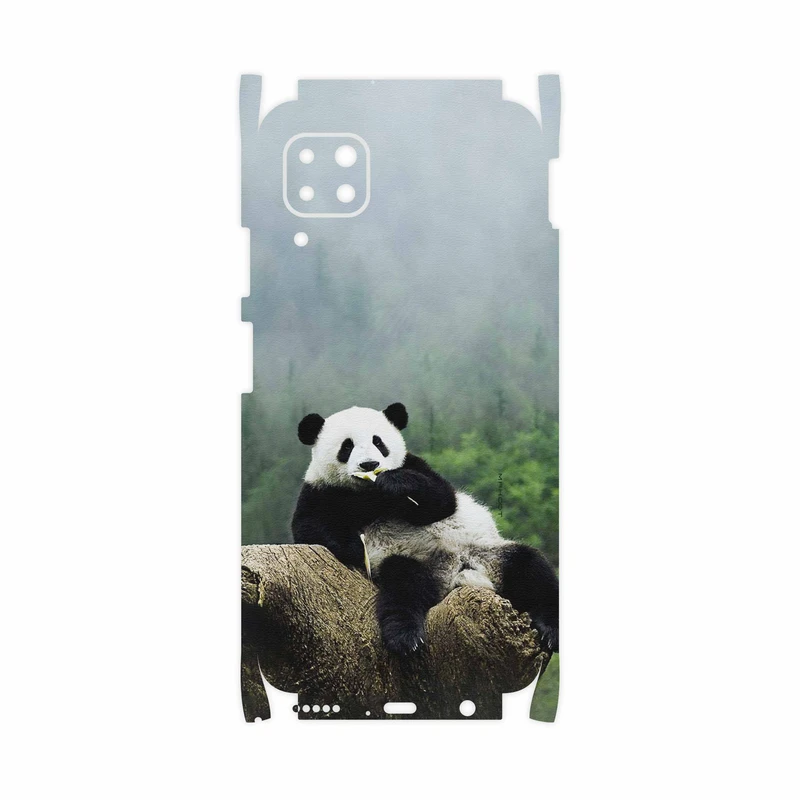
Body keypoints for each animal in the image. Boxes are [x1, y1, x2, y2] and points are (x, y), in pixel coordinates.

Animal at [292, 403, 559, 655]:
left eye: (378, 442)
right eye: (347, 446)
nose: (370, 464)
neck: (368, 494)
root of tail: (458, 573)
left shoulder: (415, 465)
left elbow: (442, 500)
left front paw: (394, 483)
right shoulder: (321, 491)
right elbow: (310, 528)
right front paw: (356, 547)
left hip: (490, 553)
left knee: (532, 569)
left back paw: (551, 630)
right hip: (414, 561)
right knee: (404, 587)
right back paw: (405, 637)